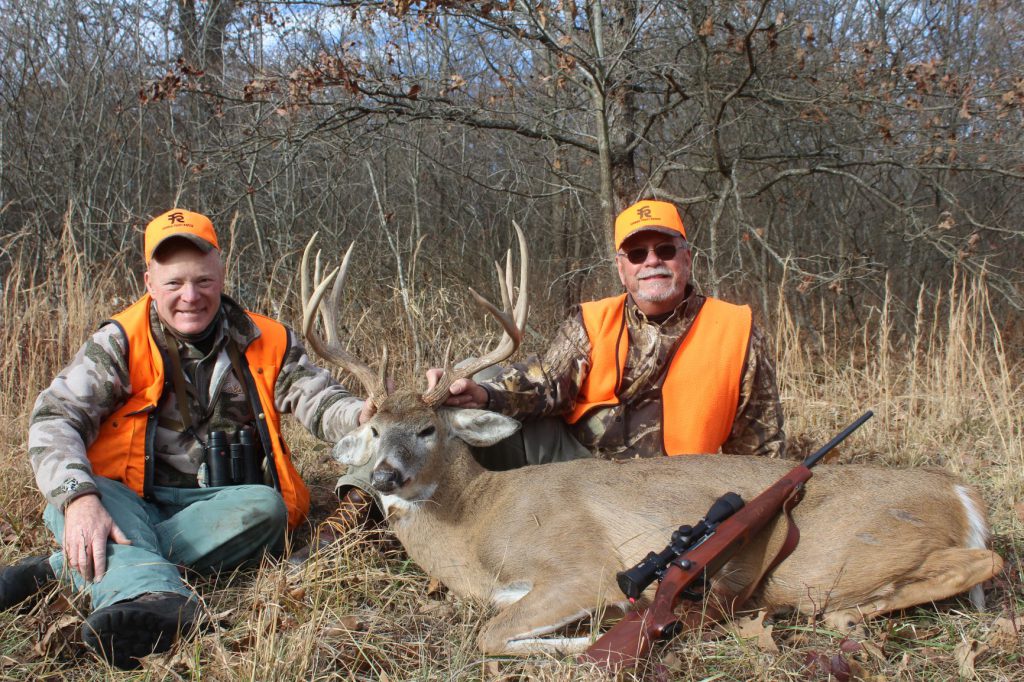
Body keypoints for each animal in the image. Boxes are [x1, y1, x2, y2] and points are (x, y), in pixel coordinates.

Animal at [296, 227, 999, 655]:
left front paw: (588, 642)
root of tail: (965, 497)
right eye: (373, 428)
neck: (475, 521)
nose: (385, 476)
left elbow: (492, 635)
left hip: (843, 556)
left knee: (976, 564)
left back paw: (848, 615)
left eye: (428, 428)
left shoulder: (577, 566)